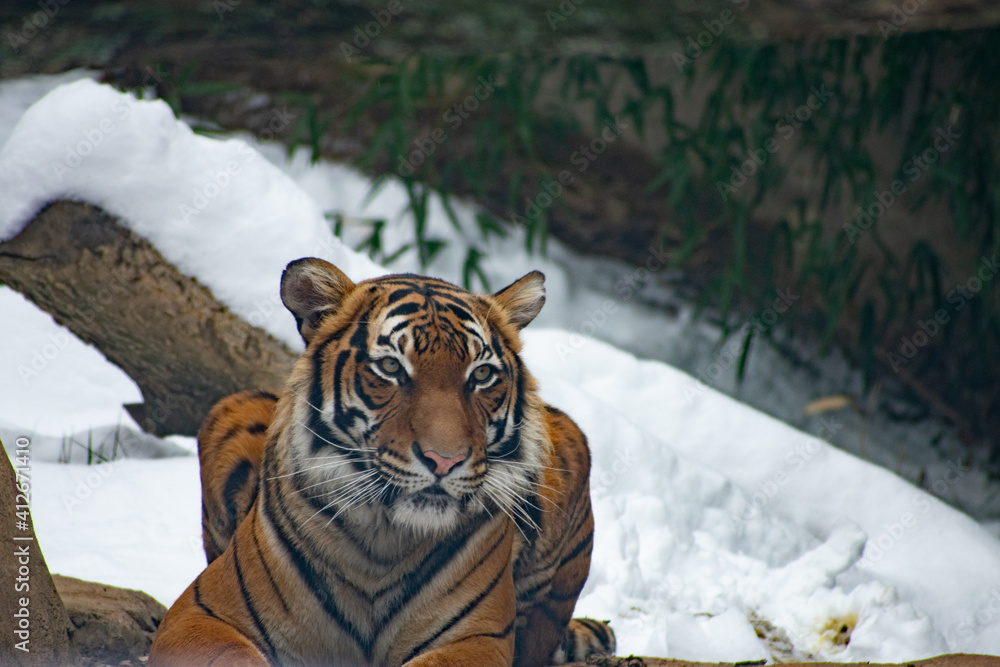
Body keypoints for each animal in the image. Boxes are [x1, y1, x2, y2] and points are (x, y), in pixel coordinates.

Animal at [149, 257, 615, 666]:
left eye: (481, 375)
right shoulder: (202, 612)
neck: (382, 540)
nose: (444, 460)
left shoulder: (475, 638)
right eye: (391, 367)